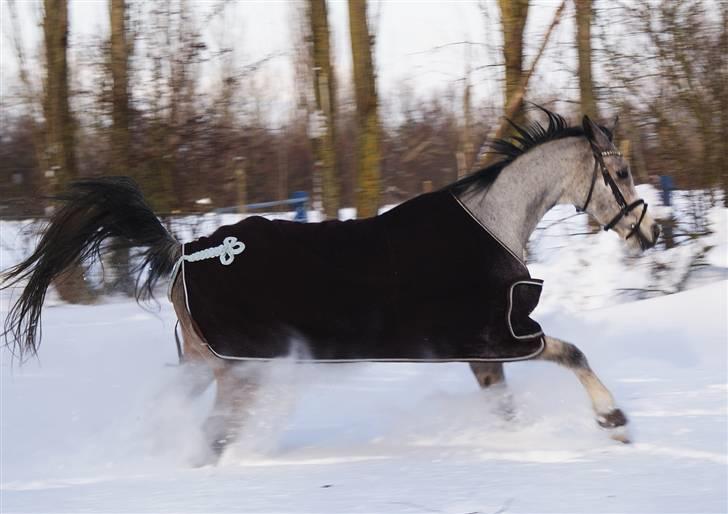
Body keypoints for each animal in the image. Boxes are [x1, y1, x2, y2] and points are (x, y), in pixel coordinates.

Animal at [0, 108, 660, 460]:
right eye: (623, 171)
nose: (648, 232)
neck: (492, 222)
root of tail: (188, 248)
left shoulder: (483, 352)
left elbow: (505, 407)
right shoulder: (504, 335)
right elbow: (572, 352)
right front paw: (614, 421)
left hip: (207, 363)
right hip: (238, 370)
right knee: (214, 435)